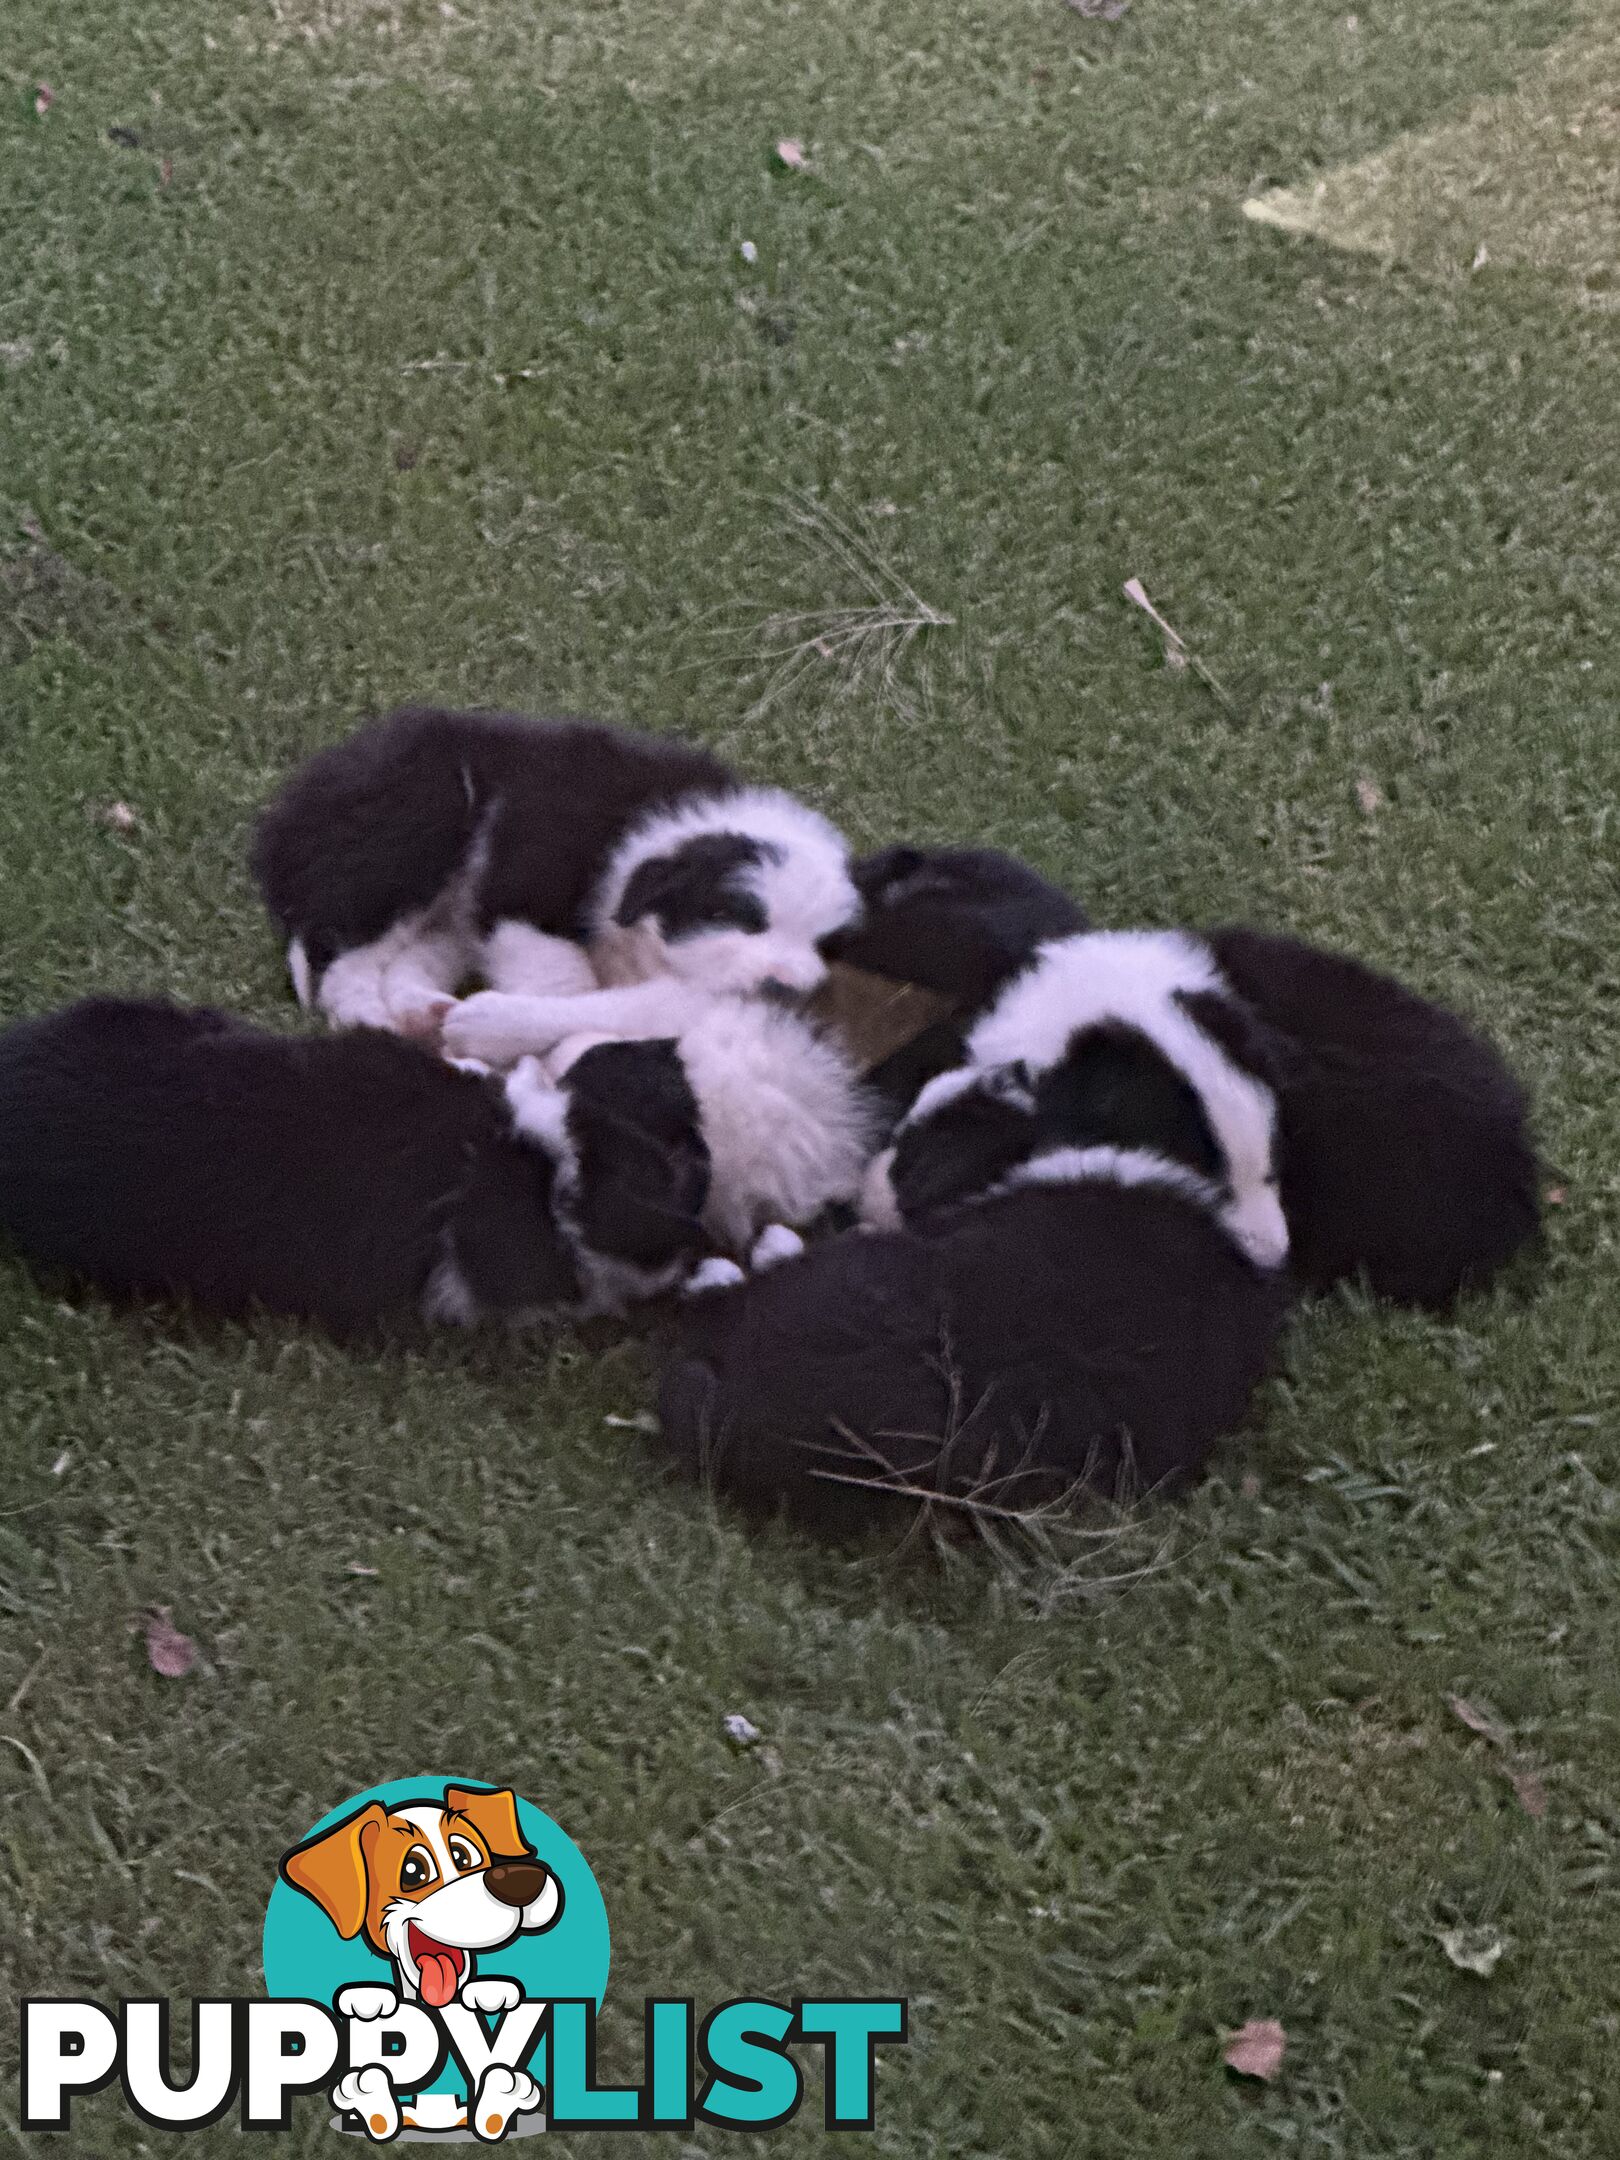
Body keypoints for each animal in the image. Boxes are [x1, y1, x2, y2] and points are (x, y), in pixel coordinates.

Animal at [253, 708, 864, 1036]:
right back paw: (373, 1020)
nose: (783, 988)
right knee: (343, 957)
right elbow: (562, 976)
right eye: (732, 916)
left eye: (826, 944)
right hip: (414, 831)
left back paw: (423, 1010)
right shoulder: (527, 880)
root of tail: (283, 817)